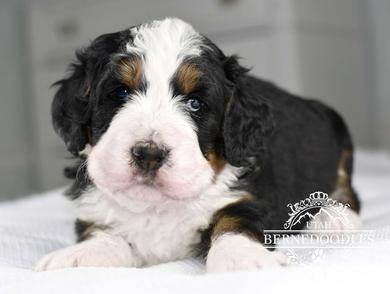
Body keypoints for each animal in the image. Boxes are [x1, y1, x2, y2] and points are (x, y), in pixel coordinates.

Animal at [35, 17, 362, 272]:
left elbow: (233, 222)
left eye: (195, 103)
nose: (149, 154)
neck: (159, 207)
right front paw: (74, 258)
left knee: (347, 189)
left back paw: (334, 219)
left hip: (340, 136)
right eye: (120, 93)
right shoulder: (98, 213)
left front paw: (243, 259)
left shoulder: (247, 196)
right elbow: (103, 234)